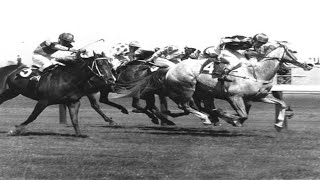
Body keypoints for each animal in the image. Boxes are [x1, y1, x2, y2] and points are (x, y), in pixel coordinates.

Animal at [170, 41, 312, 130]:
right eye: (293, 51)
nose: (309, 64)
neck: (257, 73)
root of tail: (172, 68)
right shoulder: (234, 97)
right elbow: (243, 115)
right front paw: (230, 118)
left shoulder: (259, 97)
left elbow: (281, 103)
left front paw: (278, 125)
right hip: (187, 88)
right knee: (186, 106)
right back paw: (207, 119)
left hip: (201, 92)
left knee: (200, 107)